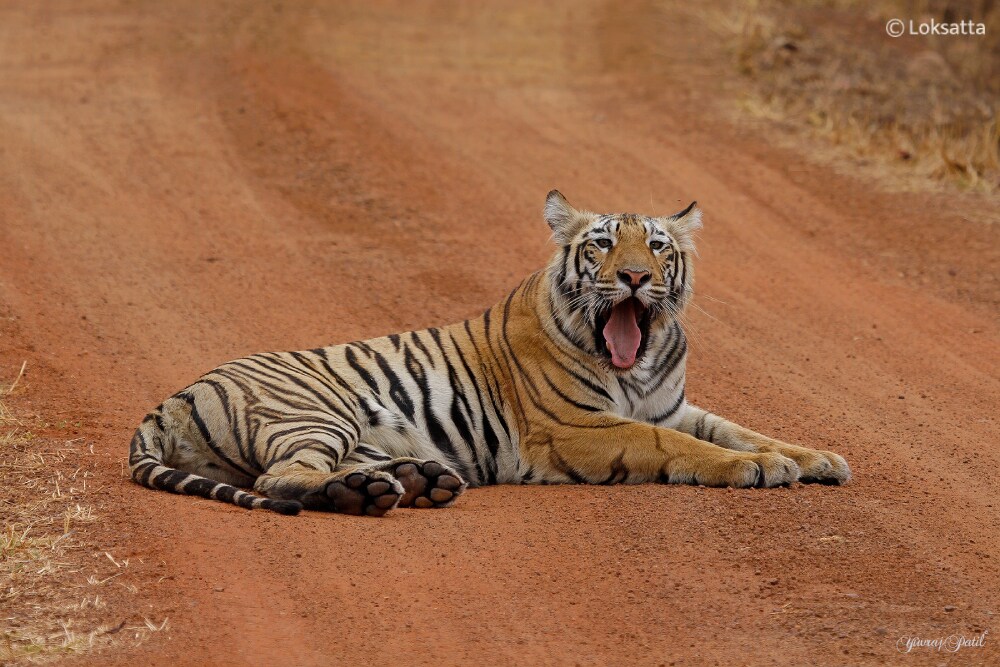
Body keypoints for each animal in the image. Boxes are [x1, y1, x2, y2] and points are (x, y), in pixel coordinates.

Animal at [129, 192, 852, 516]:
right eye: (601, 245)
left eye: (655, 246)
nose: (635, 278)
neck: (637, 363)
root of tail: (171, 398)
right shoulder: (575, 427)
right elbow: (679, 446)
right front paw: (757, 469)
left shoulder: (671, 406)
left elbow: (740, 428)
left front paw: (812, 457)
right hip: (313, 412)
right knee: (280, 479)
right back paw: (368, 493)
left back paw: (414, 480)